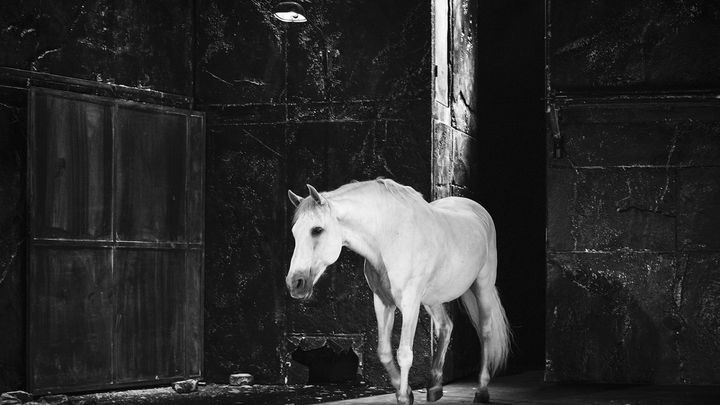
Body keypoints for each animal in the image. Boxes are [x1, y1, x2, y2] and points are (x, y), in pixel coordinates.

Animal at [284, 180, 510, 404]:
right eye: (294, 232)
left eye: (317, 229)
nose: (295, 283)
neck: (390, 237)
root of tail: (476, 209)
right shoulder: (383, 302)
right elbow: (384, 352)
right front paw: (406, 392)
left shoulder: (410, 303)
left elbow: (404, 353)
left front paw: (403, 396)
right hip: (432, 298)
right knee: (446, 326)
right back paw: (435, 386)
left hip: (483, 286)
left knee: (485, 331)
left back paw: (481, 391)